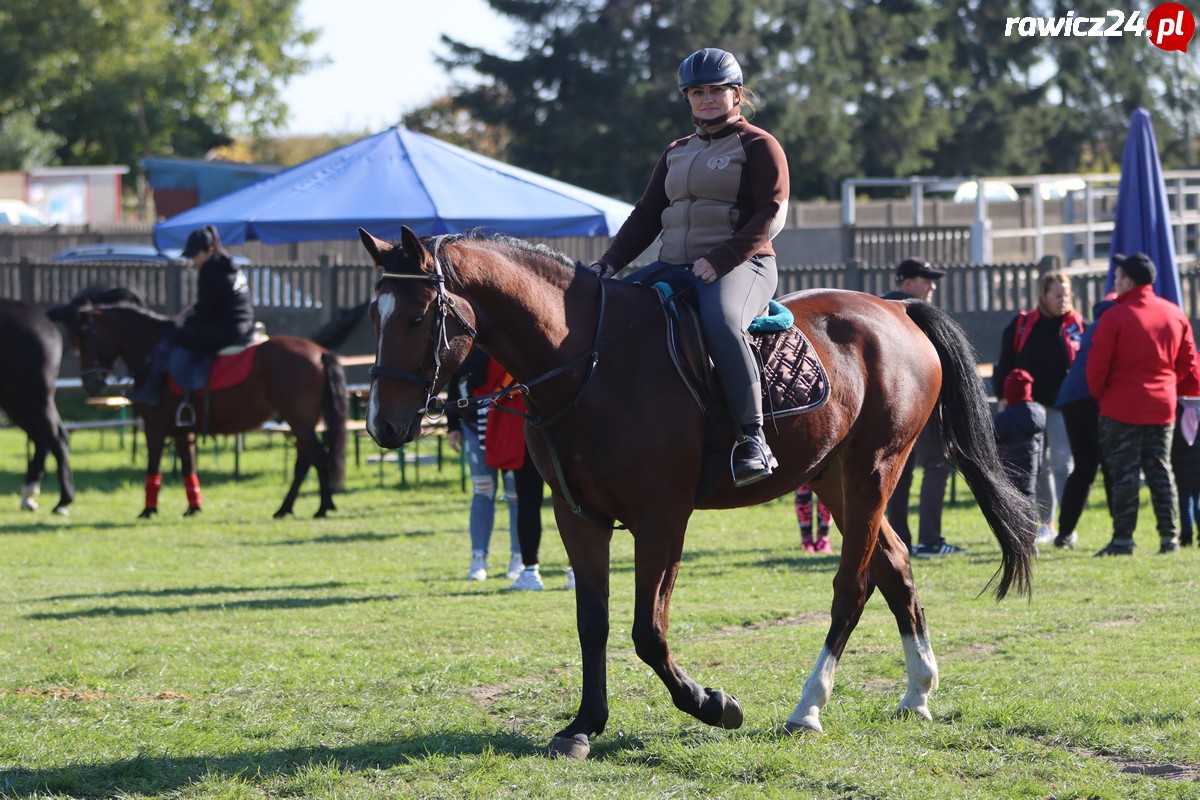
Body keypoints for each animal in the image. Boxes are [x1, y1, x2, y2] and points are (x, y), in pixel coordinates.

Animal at [0, 298, 74, 513]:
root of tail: (43, 318)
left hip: (32, 399)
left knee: (56, 439)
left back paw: (62, 501)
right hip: (18, 402)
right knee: (42, 439)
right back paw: (29, 495)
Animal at [56, 302, 348, 520]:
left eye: (86, 340)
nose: (91, 383)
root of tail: (320, 352)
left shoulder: (155, 427)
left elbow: (154, 465)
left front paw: (148, 509)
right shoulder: (182, 430)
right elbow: (188, 465)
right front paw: (193, 507)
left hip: (299, 422)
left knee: (315, 457)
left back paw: (319, 506)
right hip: (303, 423)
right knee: (306, 459)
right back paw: (290, 507)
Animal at [352, 224, 1032, 758]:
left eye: (416, 317)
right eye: (372, 318)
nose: (383, 425)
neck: (588, 363)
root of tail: (895, 309)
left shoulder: (661, 518)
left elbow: (647, 632)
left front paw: (712, 703)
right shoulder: (578, 518)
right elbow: (593, 623)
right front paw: (583, 726)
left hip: (874, 471)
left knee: (854, 585)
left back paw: (808, 708)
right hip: (833, 478)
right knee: (895, 567)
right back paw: (917, 693)